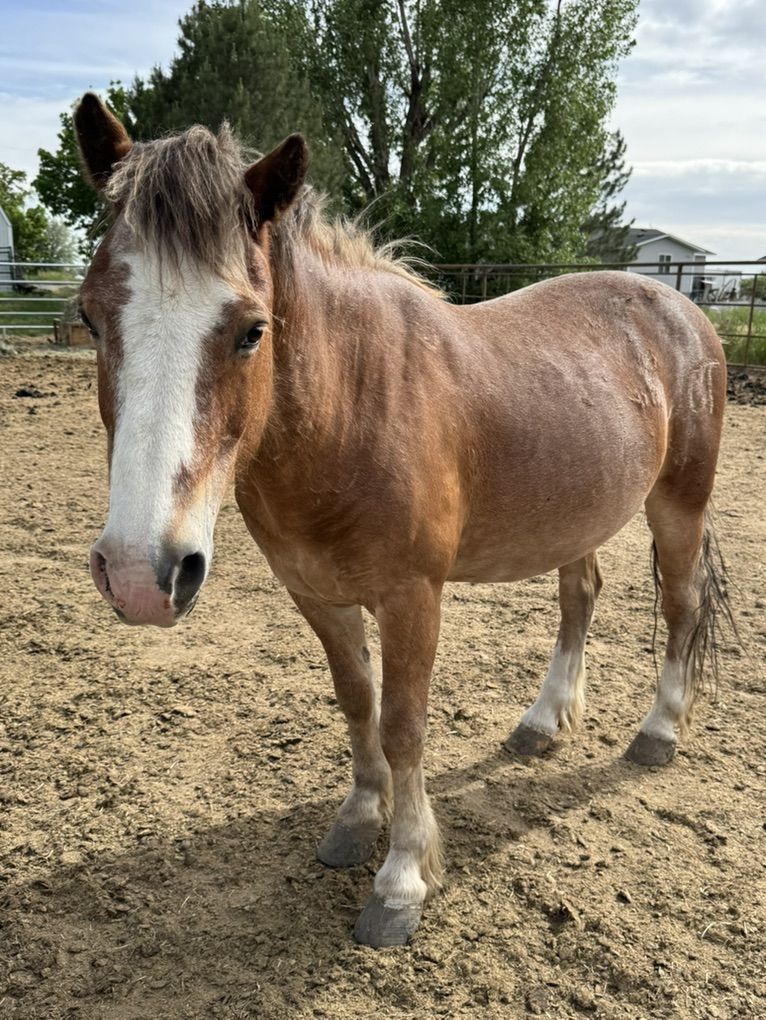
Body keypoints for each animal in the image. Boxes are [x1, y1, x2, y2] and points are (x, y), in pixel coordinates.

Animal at [73, 93, 731, 948]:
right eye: (90, 318)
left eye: (252, 329)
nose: (138, 575)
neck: (351, 409)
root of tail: (681, 306)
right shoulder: (316, 595)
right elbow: (358, 702)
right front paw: (358, 821)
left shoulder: (413, 597)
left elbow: (404, 723)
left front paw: (401, 880)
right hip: (576, 516)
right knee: (579, 596)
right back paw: (541, 722)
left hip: (677, 504)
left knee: (680, 606)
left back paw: (657, 733)